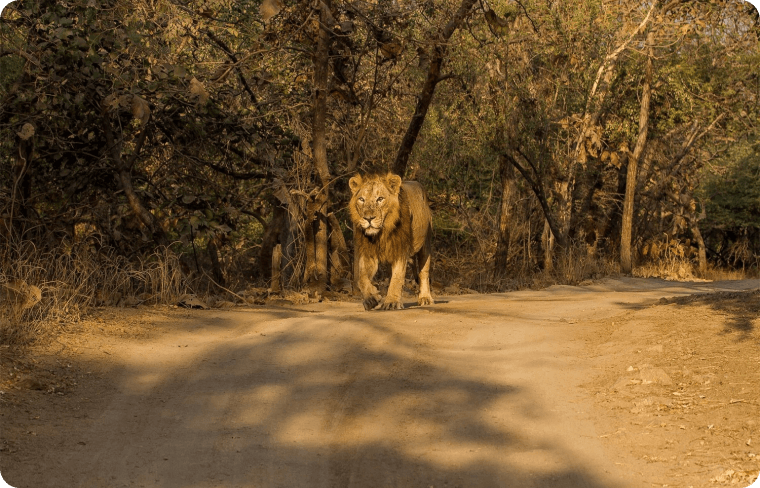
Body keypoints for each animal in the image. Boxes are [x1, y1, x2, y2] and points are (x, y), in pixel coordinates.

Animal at [348, 173, 434, 308]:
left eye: (380, 199)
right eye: (361, 199)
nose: (368, 218)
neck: (382, 233)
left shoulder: (400, 249)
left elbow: (397, 277)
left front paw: (391, 302)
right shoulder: (368, 252)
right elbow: (361, 278)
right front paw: (372, 298)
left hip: (425, 244)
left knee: (423, 272)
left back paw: (425, 298)